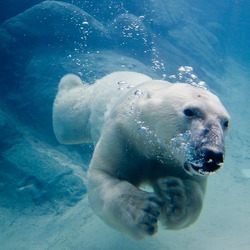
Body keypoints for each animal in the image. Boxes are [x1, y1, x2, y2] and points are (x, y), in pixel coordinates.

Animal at [52, 71, 230, 238]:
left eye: (226, 122)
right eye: (189, 111)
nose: (213, 155)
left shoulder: (176, 163)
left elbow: (194, 189)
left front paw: (176, 194)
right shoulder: (123, 135)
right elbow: (105, 174)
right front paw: (144, 210)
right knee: (68, 120)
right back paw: (69, 81)